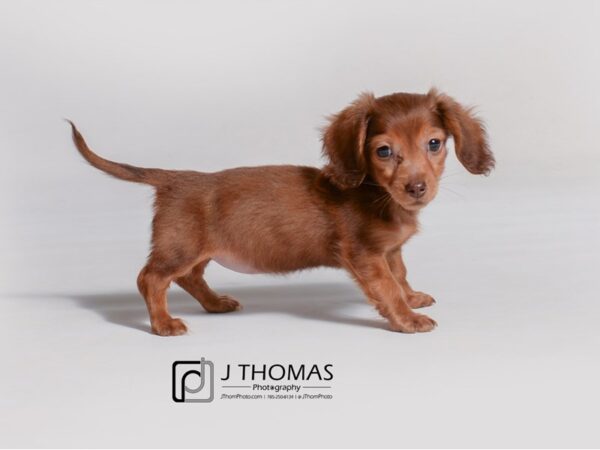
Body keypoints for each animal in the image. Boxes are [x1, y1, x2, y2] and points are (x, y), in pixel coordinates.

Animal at [69, 89, 492, 334]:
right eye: (384, 151)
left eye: (434, 143)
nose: (416, 188)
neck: (377, 195)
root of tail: (175, 178)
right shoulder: (365, 255)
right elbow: (387, 287)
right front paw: (407, 319)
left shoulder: (391, 251)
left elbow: (400, 275)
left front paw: (412, 297)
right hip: (179, 248)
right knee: (151, 279)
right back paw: (162, 324)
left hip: (197, 251)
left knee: (189, 278)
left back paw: (215, 304)